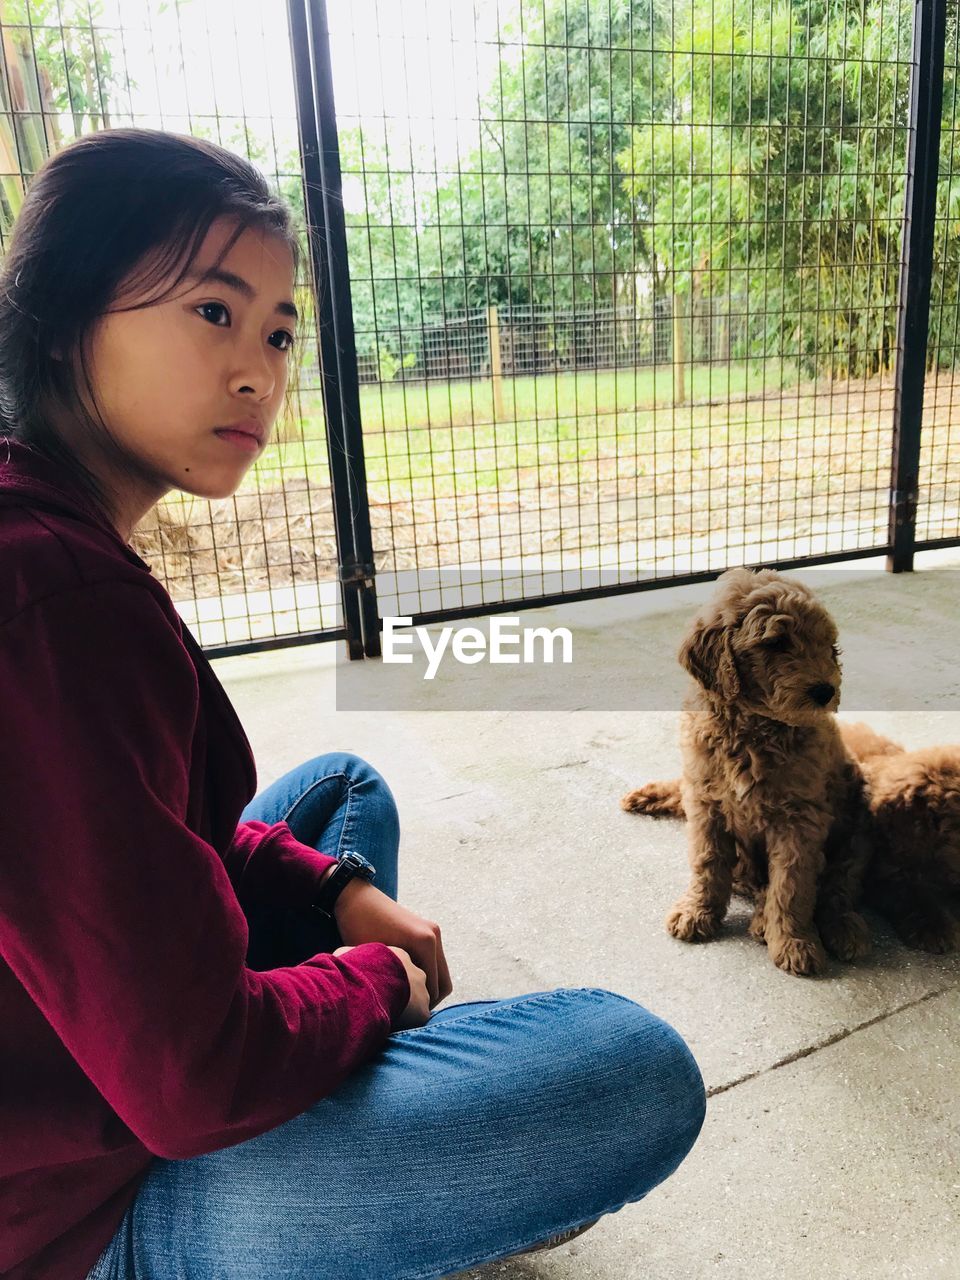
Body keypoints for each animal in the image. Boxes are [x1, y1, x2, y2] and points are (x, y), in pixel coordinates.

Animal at [627, 565, 875, 972]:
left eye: (826, 645)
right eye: (775, 643)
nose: (825, 691)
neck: (753, 728)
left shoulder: (800, 819)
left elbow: (791, 885)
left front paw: (794, 942)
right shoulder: (706, 802)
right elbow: (707, 863)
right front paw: (697, 912)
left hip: (856, 830)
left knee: (836, 886)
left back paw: (837, 929)